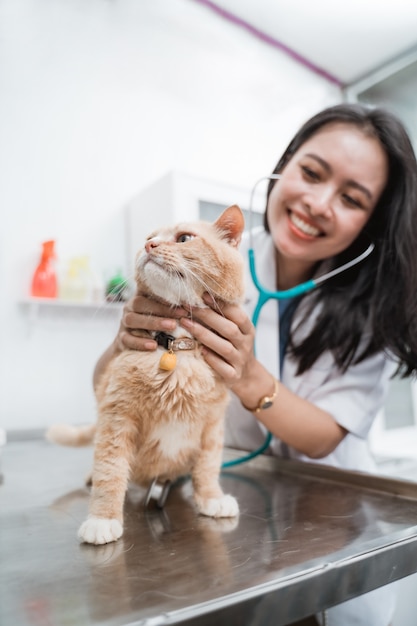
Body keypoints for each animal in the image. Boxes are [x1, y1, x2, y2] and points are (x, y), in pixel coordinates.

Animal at [47, 205, 245, 540]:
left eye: (184, 238)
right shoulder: (117, 418)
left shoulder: (212, 425)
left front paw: (211, 498)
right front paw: (103, 519)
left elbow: (208, 467)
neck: (177, 348)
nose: (150, 246)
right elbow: (110, 471)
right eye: (148, 238)